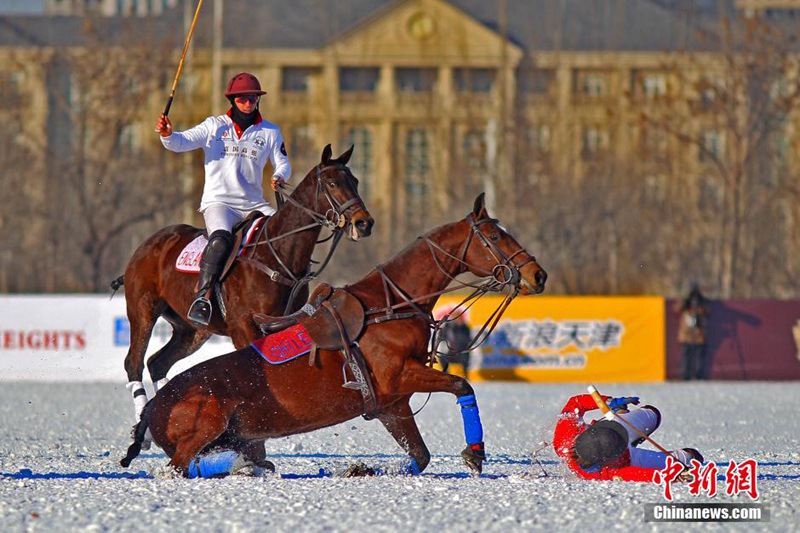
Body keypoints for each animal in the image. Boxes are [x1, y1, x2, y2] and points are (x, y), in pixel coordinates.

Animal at [115, 142, 376, 424]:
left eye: (355, 181)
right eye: (331, 183)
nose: (364, 223)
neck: (277, 254)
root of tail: (146, 245)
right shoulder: (243, 326)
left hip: (192, 330)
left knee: (158, 363)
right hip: (143, 310)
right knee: (134, 362)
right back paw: (142, 416)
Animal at [120, 193, 544, 476]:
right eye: (495, 237)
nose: (538, 275)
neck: (392, 303)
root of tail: (153, 410)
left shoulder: (392, 404)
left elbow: (419, 457)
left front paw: (361, 470)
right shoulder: (398, 377)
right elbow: (462, 385)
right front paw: (475, 453)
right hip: (204, 412)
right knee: (176, 462)